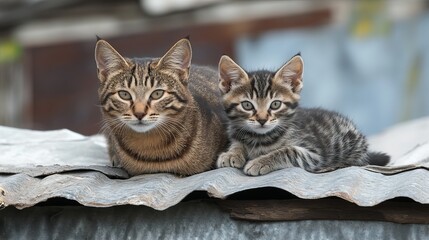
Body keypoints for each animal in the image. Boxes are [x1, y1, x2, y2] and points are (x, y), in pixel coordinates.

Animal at [217, 54, 388, 176]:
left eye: (275, 104)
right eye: (247, 105)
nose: (262, 120)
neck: (260, 138)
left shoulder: (315, 154)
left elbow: (288, 151)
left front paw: (260, 162)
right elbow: (237, 143)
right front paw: (231, 154)